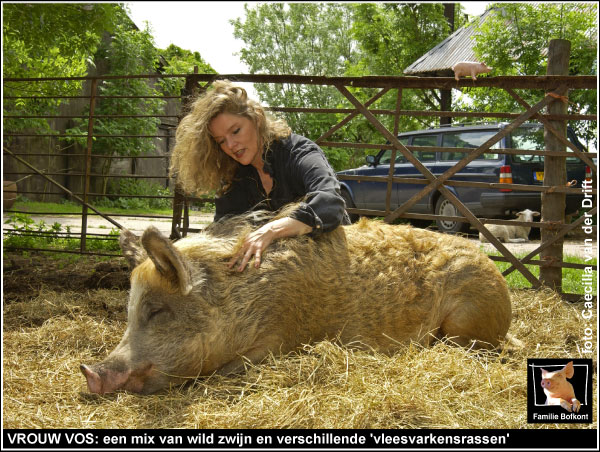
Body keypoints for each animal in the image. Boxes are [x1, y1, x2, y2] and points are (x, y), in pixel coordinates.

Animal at [78, 210, 510, 394]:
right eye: (128, 310)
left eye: (156, 310)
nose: (89, 371)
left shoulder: (275, 341)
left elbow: (227, 372)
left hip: (468, 316)